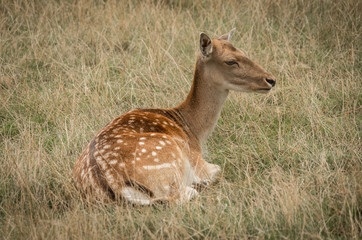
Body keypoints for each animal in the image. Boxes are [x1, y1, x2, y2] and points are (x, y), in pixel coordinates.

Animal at [74, 28, 278, 204]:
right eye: (230, 61)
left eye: (243, 51)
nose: (271, 79)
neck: (194, 131)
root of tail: (108, 181)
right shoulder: (198, 163)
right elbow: (217, 169)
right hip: (169, 160)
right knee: (181, 195)